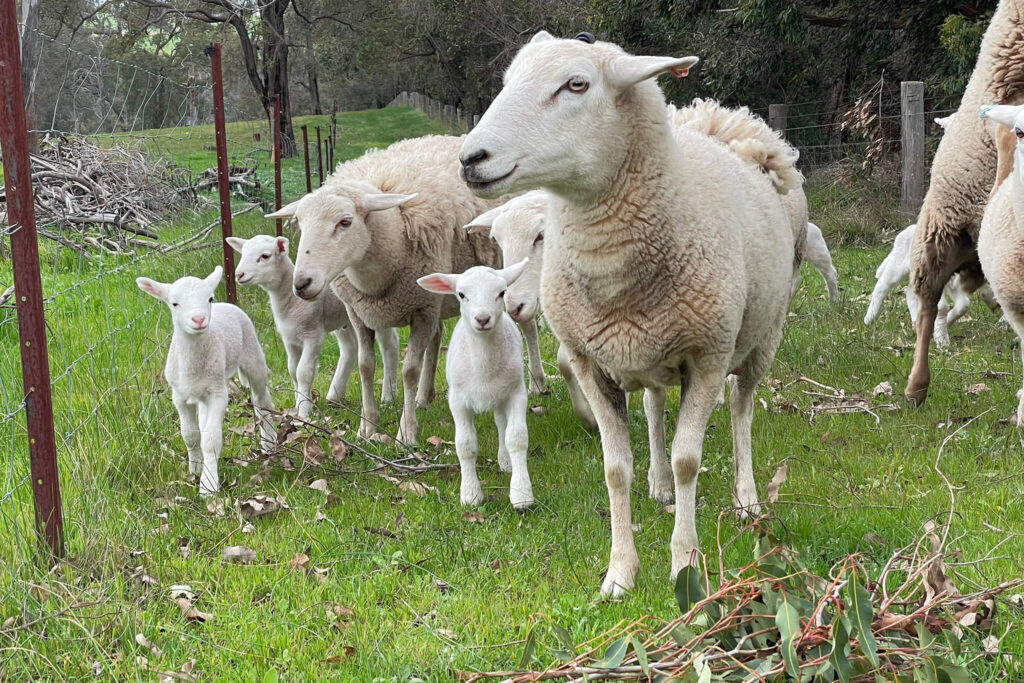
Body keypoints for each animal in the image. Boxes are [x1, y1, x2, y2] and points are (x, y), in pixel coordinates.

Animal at [140, 266, 278, 497]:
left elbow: (211, 440)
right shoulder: (179, 396)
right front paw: (195, 469)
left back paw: (269, 441)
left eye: (209, 298)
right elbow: (191, 436)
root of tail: (227, 304)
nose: (198, 319)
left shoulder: (218, 393)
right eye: (174, 303)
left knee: (262, 401)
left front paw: (209, 485)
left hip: (252, 353)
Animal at [228, 233, 399, 417]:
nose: (239, 274)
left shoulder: (313, 334)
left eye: (265, 256)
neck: (290, 299)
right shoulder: (289, 338)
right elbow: (292, 370)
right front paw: (299, 403)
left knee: (390, 345)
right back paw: (334, 395)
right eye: (243, 253)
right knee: (350, 348)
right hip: (342, 318)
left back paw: (388, 396)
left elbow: (303, 372)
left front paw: (303, 412)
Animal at [266, 135, 501, 444]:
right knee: (437, 336)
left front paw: (407, 432)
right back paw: (423, 398)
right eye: (301, 224)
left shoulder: (421, 309)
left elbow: (409, 370)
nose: (302, 284)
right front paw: (367, 427)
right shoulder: (360, 312)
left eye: (345, 222)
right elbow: (366, 366)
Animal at [415, 259, 536, 509]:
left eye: (501, 293)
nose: (482, 319)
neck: (483, 366)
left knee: (501, 424)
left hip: (502, 394)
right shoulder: (458, 401)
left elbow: (517, 438)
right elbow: (466, 445)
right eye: (461, 295)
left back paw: (505, 461)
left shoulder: (517, 393)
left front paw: (522, 494)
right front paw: (470, 495)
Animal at [460, 33, 802, 598]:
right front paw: (620, 572)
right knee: (655, 406)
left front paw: (685, 563)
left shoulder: (707, 355)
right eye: (508, 80)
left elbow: (690, 460)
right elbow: (615, 468)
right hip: (651, 349)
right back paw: (658, 484)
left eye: (577, 84)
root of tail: (724, 122)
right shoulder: (591, 362)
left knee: (741, 406)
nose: (470, 158)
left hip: (763, 333)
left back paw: (746, 497)